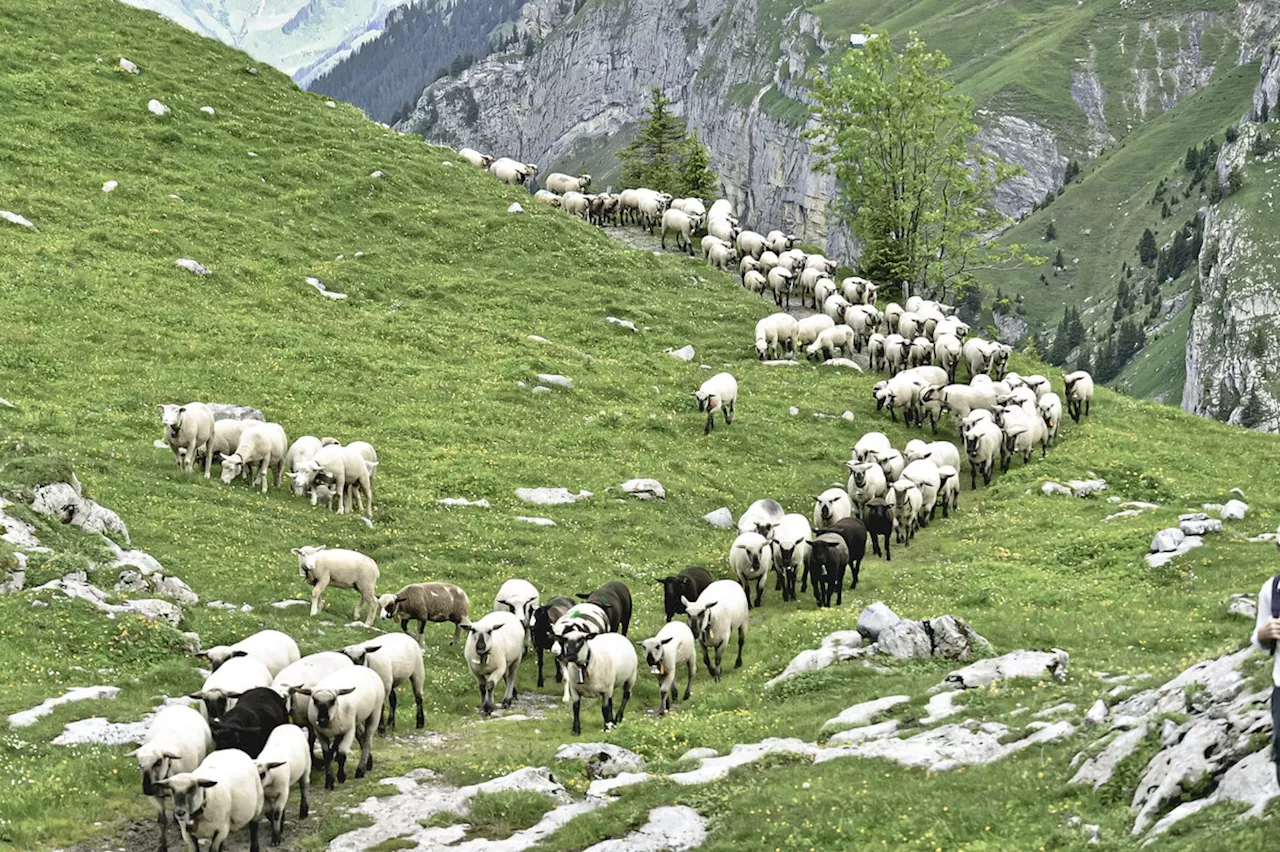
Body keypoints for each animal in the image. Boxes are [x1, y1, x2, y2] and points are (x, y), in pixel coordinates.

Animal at [133, 701, 211, 849]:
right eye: (139, 764)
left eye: (158, 762)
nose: (147, 789)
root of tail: (180, 706)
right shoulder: (155, 797)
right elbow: (162, 821)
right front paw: (162, 845)